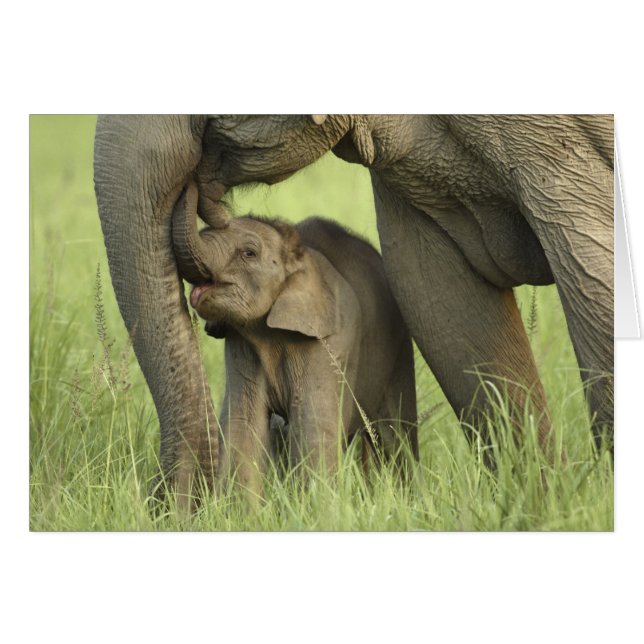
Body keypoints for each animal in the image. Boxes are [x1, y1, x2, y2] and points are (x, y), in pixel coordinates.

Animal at [171, 183, 418, 499]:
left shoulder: (329, 342)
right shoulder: (241, 344)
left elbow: (312, 423)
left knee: (396, 435)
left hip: (399, 349)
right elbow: (243, 424)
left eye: (249, 253)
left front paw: (317, 506)